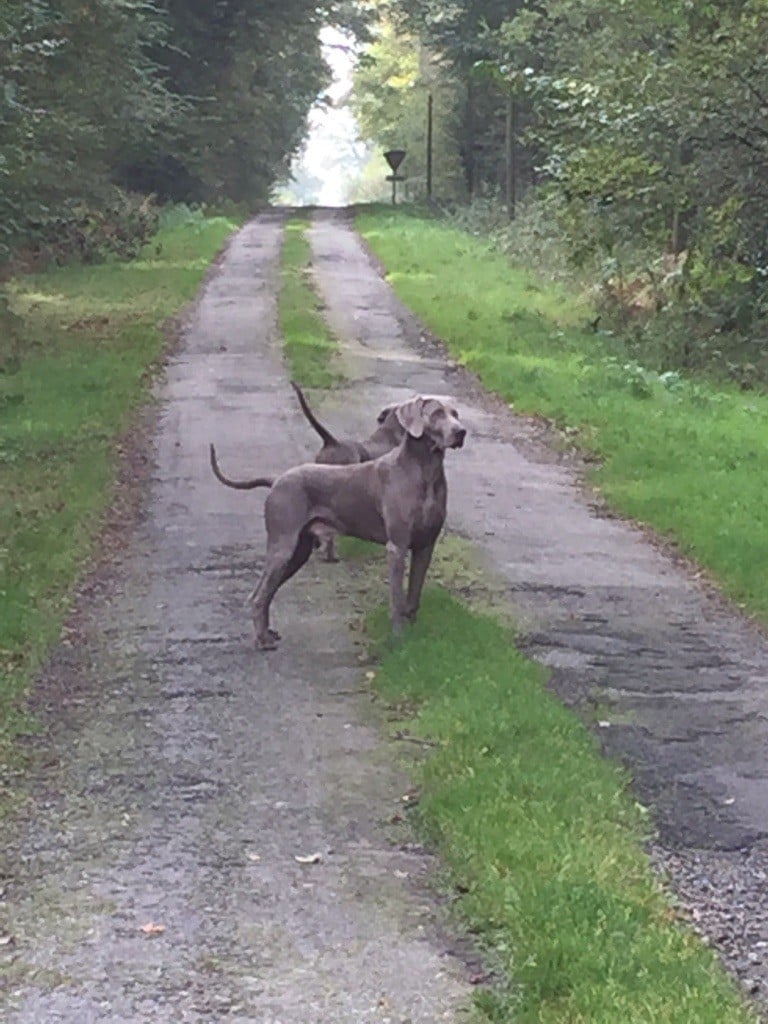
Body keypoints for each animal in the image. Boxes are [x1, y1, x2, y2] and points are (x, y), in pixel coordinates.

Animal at [207, 397, 466, 647]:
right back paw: (262, 640)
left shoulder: (425, 546)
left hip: (299, 551)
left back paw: (268, 633)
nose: (461, 432)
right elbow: (397, 599)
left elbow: (414, 595)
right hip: (283, 546)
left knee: (268, 592)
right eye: (436, 414)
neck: (425, 471)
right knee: (258, 595)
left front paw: (413, 635)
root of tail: (276, 480)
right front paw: (399, 639)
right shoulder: (397, 547)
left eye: (455, 414)